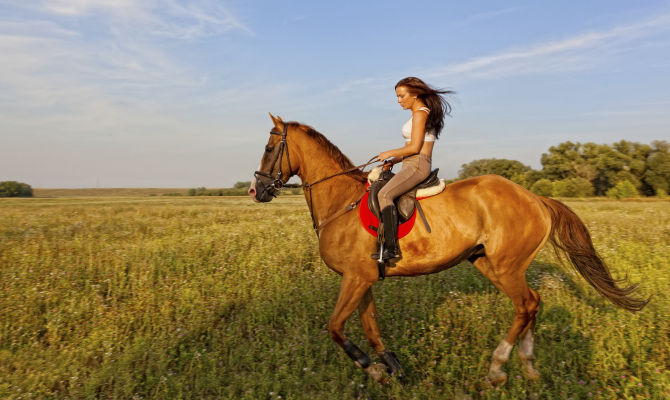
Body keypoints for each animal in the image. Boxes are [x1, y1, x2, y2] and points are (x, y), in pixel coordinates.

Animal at [248, 113, 652, 384]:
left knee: (526, 305)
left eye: (269, 148)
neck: (340, 202)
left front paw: (375, 370)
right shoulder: (362, 278)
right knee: (533, 303)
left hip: (506, 266)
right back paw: (528, 366)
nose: (257, 191)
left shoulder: (356, 278)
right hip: (489, 264)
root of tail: (534, 198)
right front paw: (392, 368)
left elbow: (335, 328)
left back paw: (498, 367)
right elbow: (370, 326)